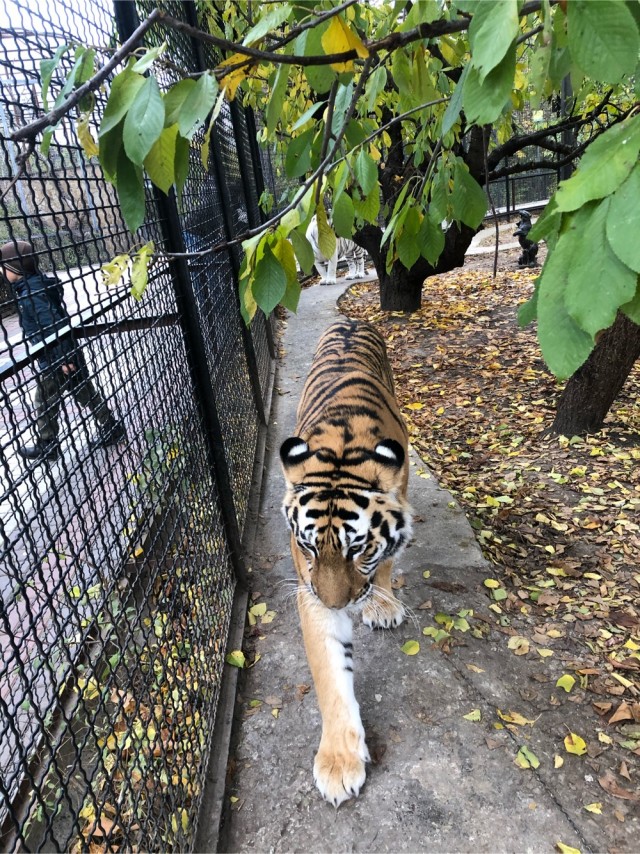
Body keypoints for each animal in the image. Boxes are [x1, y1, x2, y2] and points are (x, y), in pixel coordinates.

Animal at [280, 318, 413, 806]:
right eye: (309, 547)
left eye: (359, 549)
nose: (339, 605)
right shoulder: (309, 589)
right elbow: (331, 672)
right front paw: (338, 762)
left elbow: (387, 566)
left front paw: (383, 604)